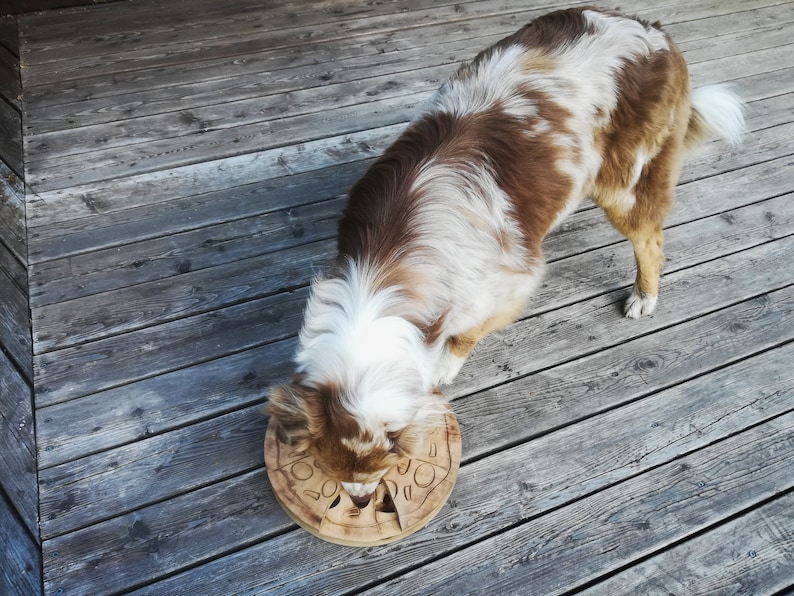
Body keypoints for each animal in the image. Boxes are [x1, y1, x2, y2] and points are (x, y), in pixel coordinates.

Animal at [266, 7, 744, 506]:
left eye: (386, 465)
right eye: (328, 464)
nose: (360, 502)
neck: (383, 270)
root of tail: (656, 33)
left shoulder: (509, 283)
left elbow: (465, 333)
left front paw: (446, 365)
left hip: (623, 182)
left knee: (650, 240)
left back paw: (644, 297)